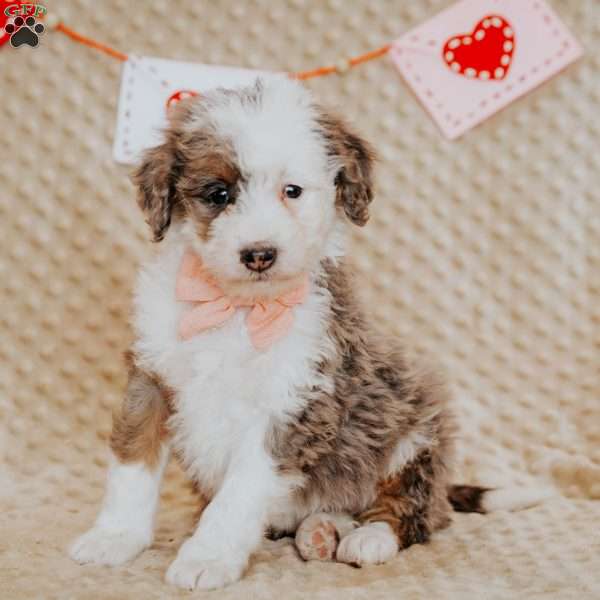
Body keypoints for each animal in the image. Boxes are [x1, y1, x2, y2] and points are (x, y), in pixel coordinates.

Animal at [69, 75, 540, 592]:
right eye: (218, 194)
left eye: (291, 191)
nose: (259, 253)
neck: (239, 308)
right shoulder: (152, 377)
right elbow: (132, 464)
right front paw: (115, 537)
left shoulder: (294, 402)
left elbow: (238, 493)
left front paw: (207, 556)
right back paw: (320, 530)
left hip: (416, 422)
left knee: (416, 511)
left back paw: (366, 537)